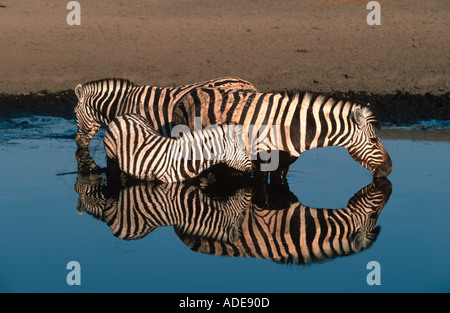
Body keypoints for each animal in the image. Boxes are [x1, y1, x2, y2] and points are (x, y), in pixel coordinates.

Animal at [171, 87, 392, 183]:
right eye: (374, 140)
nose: (390, 169)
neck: (294, 127)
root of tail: (190, 94)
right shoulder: (261, 161)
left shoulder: (285, 164)